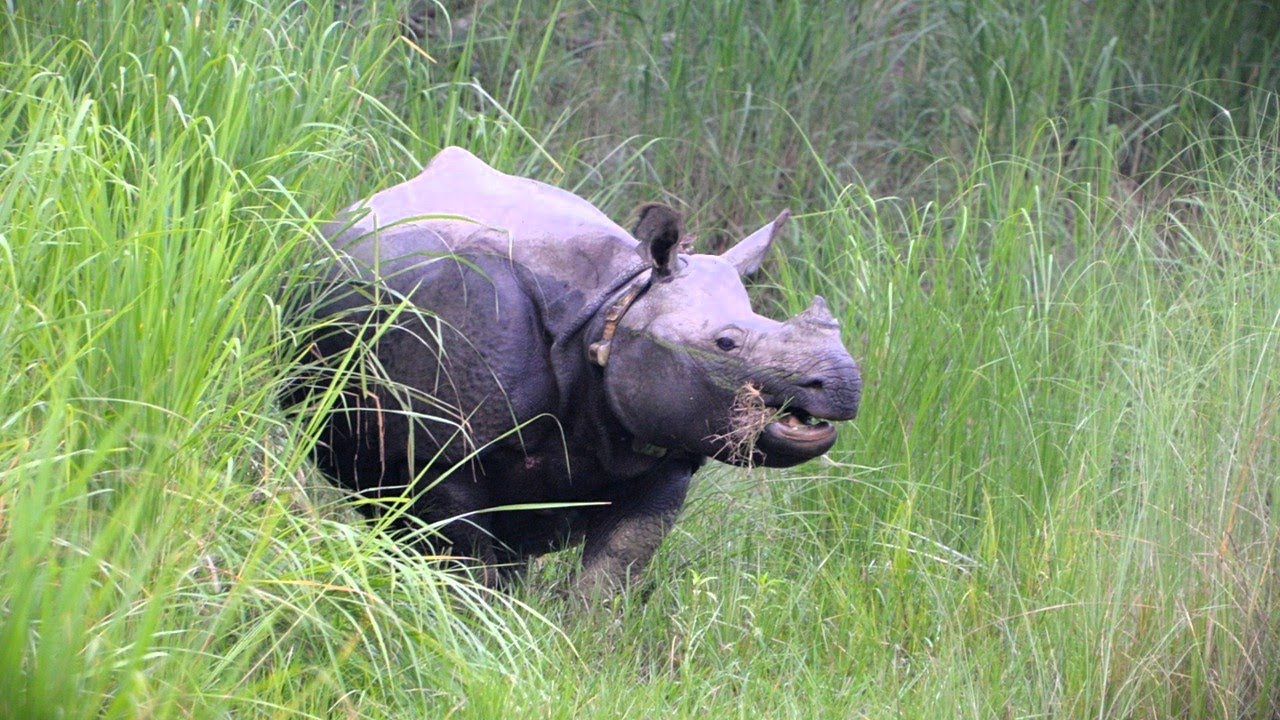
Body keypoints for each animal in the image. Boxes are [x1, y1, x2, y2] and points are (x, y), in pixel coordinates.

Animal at [293, 147, 861, 595]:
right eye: (725, 343)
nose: (841, 383)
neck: (618, 306)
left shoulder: (670, 442)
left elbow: (613, 570)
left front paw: (588, 648)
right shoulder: (440, 449)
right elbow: (466, 562)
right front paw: (480, 632)